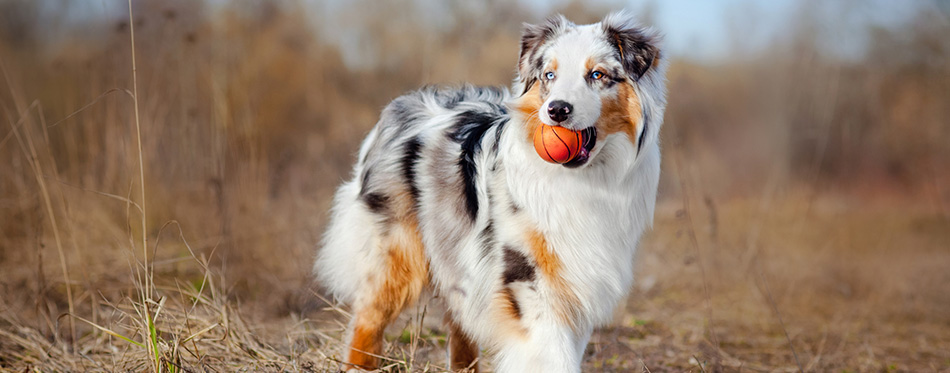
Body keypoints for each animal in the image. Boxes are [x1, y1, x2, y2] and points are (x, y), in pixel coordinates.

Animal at [316, 11, 664, 372]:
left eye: (597, 74)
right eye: (549, 75)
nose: (557, 110)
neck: (584, 180)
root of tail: (402, 104)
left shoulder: (578, 281)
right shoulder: (526, 277)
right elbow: (552, 353)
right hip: (397, 253)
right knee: (367, 320)